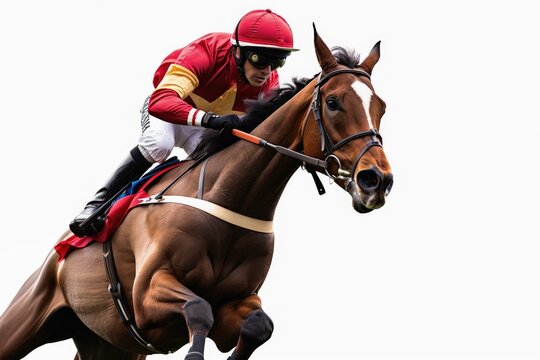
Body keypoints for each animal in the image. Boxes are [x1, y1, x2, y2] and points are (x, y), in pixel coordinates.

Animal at [0, 26, 390, 360]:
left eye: (382, 107)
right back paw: (88, 215)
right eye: (334, 103)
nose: (377, 180)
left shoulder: (238, 302)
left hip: (110, 343)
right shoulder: (146, 297)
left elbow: (259, 325)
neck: (229, 199)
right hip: (26, 317)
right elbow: (199, 308)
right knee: (155, 144)